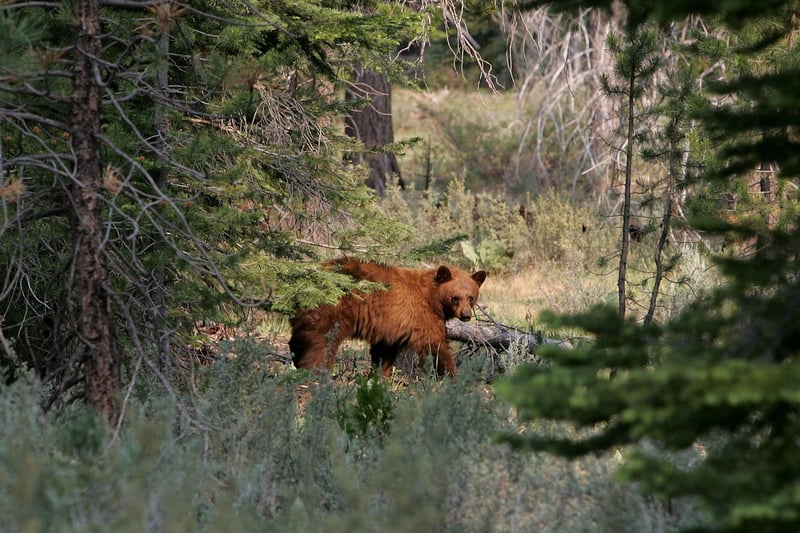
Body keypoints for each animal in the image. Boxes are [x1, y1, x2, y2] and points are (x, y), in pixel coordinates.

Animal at [289, 258, 487, 378]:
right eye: (455, 297)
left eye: (471, 297)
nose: (466, 315)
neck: (432, 297)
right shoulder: (421, 316)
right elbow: (435, 345)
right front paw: (451, 375)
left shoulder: (391, 325)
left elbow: (384, 351)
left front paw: (379, 377)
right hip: (332, 311)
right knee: (321, 345)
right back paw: (315, 373)